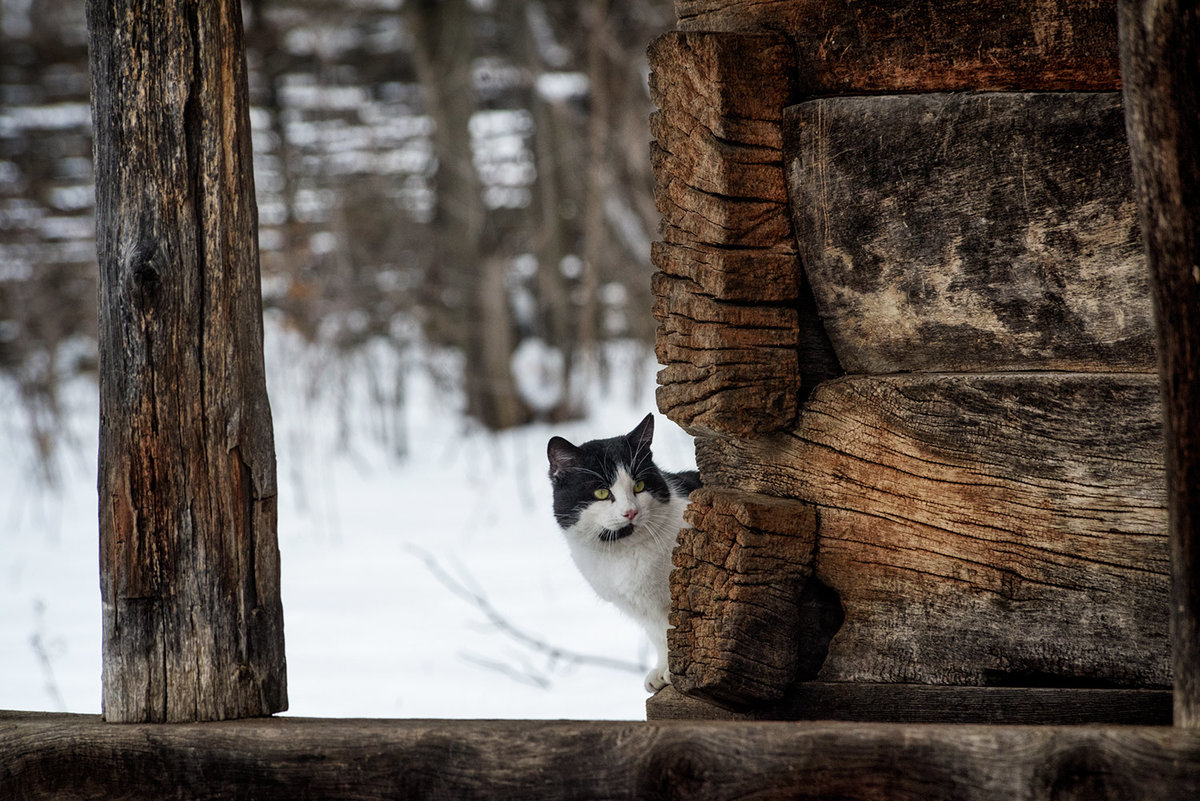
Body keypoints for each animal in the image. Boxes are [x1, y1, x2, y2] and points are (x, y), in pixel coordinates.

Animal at [547, 412, 700, 690]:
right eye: (601, 492)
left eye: (639, 486)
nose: (631, 512)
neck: (623, 553)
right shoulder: (641, 609)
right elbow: (659, 633)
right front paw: (662, 669)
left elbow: (676, 626)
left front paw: (673, 671)